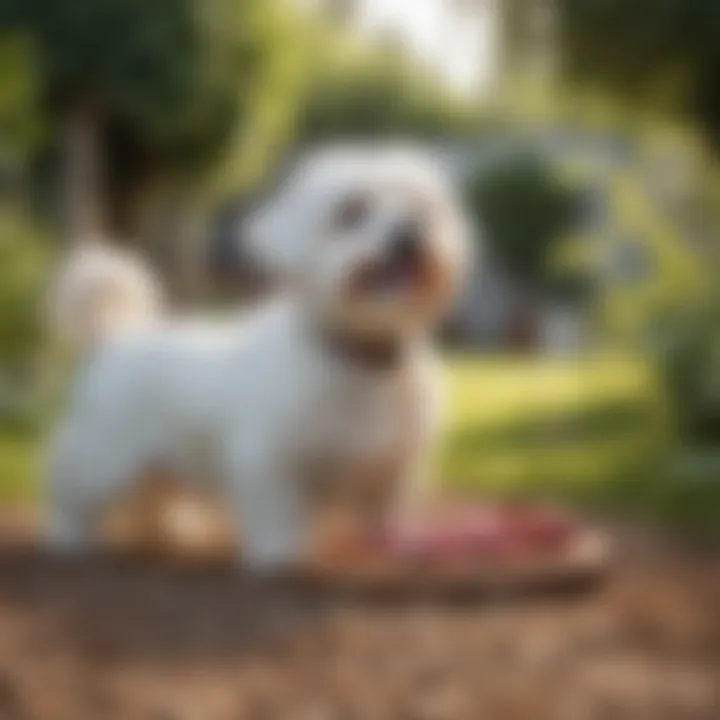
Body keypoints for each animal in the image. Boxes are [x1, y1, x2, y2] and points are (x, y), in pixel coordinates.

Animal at [46, 146, 472, 572]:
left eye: (422, 210)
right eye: (351, 211)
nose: (409, 233)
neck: (358, 357)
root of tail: (118, 337)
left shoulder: (389, 470)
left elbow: (381, 518)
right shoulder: (272, 464)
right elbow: (277, 517)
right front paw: (280, 558)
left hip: (161, 457)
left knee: (156, 494)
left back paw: (173, 531)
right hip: (105, 455)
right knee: (72, 490)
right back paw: (70, 538)